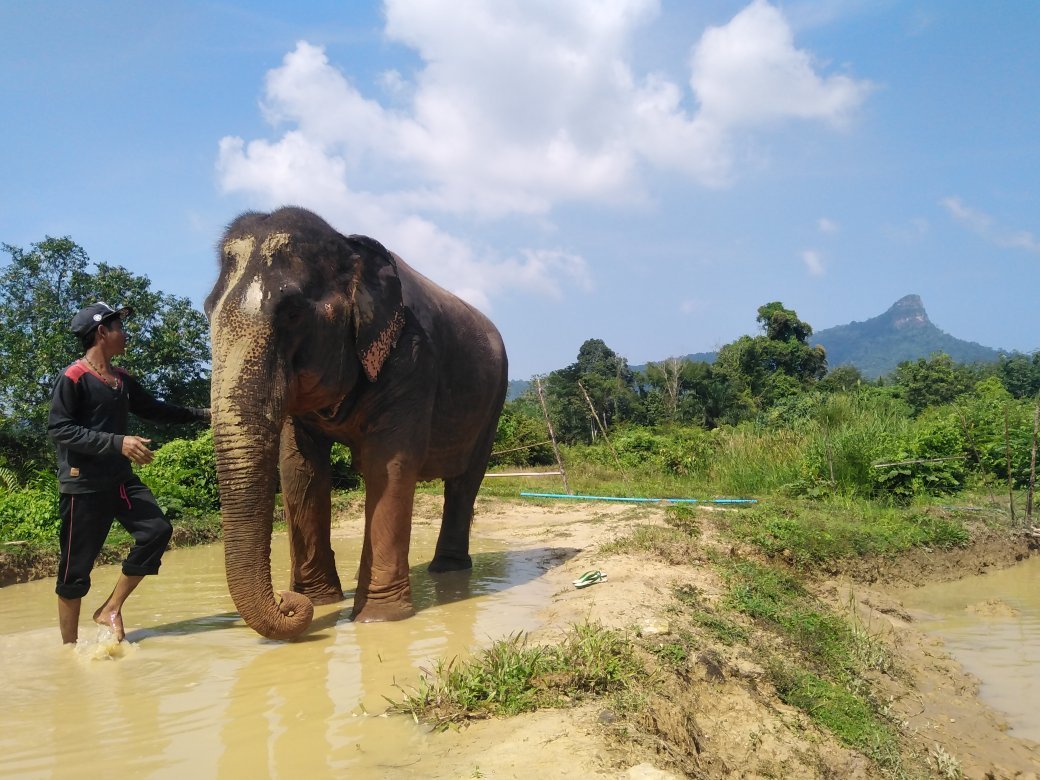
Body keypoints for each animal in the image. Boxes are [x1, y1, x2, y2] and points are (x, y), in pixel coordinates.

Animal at [203, 208, 507, 640]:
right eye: (206, 310)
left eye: (292, 313)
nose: (287, 600)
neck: (349, 247)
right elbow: (300, 470)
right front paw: (321, 601)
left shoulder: (412, 357)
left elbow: (388, 465)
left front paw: (378, 619)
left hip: (493, 401)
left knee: (465, 482)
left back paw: (448, 571)